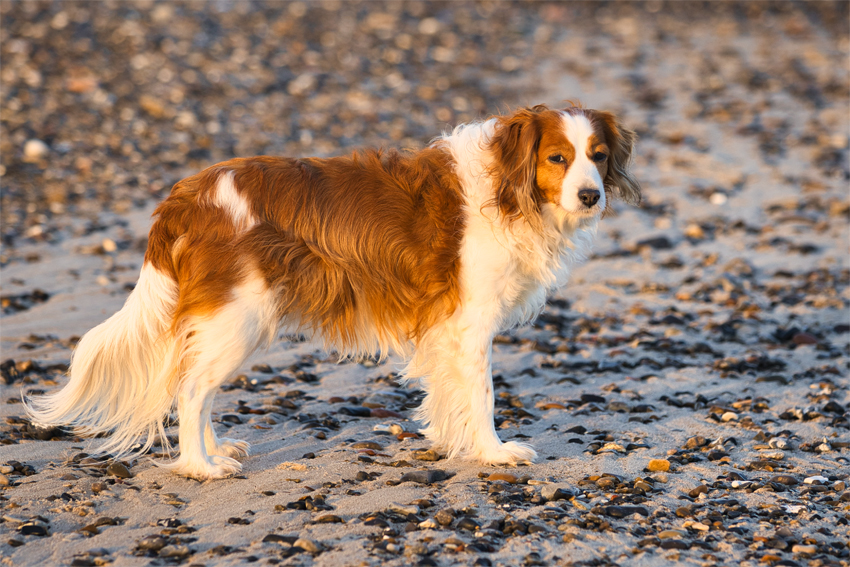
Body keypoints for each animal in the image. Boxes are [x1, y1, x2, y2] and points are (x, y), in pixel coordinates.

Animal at [24, 103, 636, 480]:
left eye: (598, 156)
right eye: (557, 158)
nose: (591, 196)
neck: (508, 192)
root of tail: (185, 195)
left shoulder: (445, 329)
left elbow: (449, 394)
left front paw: (452, 443)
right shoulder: (470, 323)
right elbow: (483, 394)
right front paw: (493, 452)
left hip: (229, 320)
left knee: (198, 387)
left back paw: (217, 449)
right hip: (240, 316)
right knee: (193, 390)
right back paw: (203, 466)